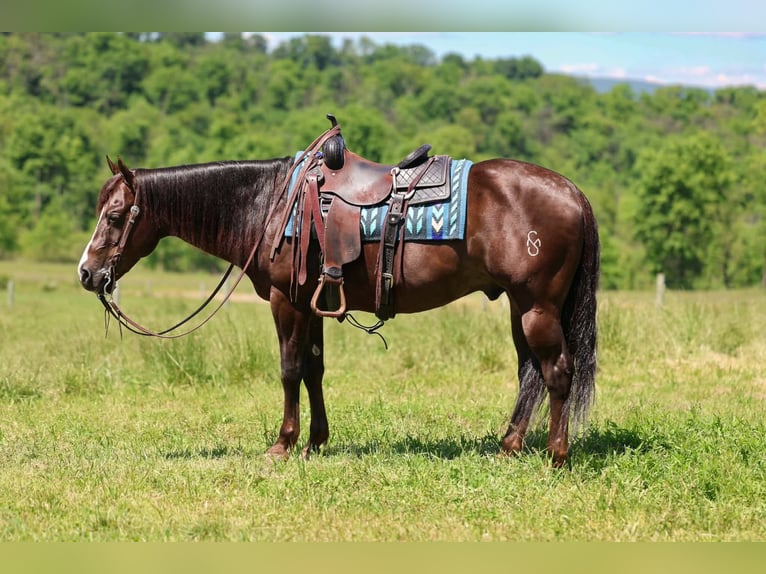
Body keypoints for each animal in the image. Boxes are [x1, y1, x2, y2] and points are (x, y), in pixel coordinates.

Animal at [77, 125, 599, 467]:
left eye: (116, 216)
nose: (87, 273)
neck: (270, 204)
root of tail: (572, 191)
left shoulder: (287, 302)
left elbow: (289, 369)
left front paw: (283, 444)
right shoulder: (313, 304)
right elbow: (314, 369)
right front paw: (315, 442)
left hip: (537, 306)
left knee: (556, 371)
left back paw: (556, 456)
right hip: (519, 305)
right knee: (530, 371)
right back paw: (509, 447)